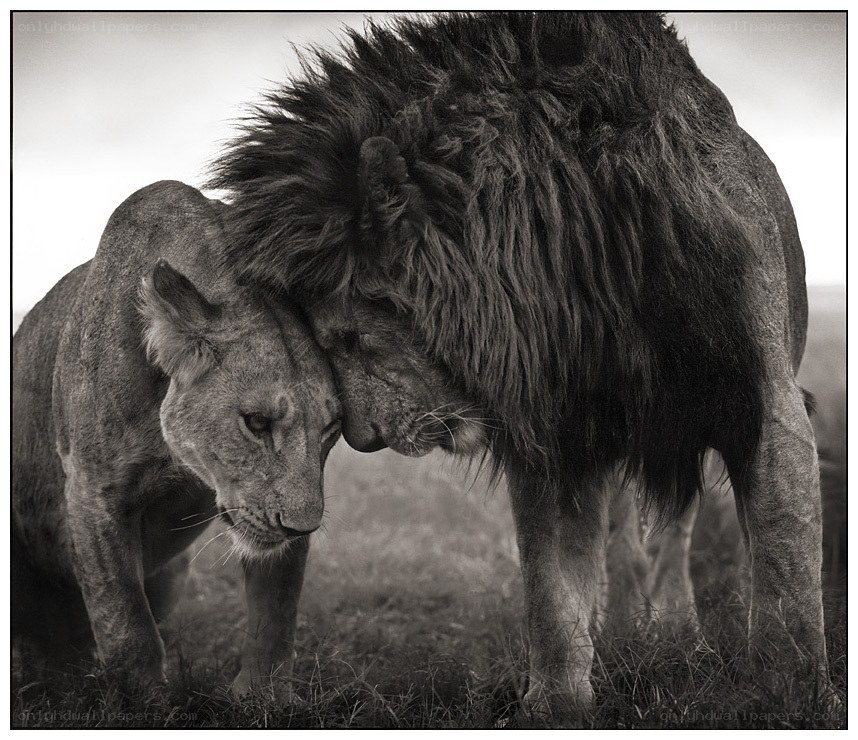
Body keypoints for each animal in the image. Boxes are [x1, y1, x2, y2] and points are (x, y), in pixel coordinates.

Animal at [12, 180, 341, 700]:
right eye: (256, 422)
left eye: (331, 430)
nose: (301, 527)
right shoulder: (93, 489)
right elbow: (125, 620)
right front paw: (142, 700)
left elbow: (276, 611)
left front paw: (263, 698)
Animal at [210, 12, 832, 714]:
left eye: (346, 338)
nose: (365, 440)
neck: (584, 264)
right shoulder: (554, 429)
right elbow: (552, 584)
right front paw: (558, 701)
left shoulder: (763, 402)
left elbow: (783, 569)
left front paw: (788, 698)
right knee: (617, 537)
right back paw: (621, 630)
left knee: (674, 529)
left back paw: (676, 630)